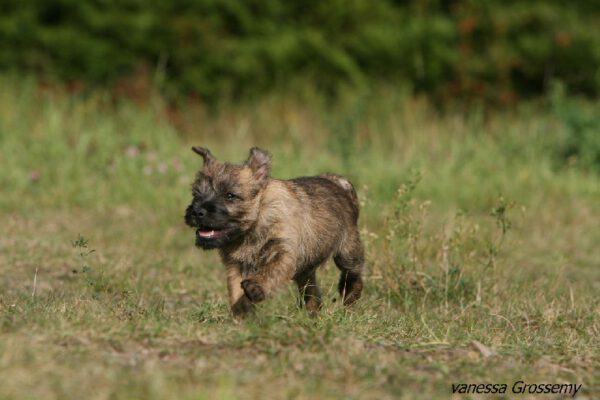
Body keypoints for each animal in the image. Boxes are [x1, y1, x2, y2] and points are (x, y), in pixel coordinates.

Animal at [183, 146, 364, 316]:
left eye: (230, 195)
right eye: (196, 194)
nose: (197, 211)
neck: (252, 227)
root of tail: (336, 181)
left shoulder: (284, 252)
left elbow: (272, 270)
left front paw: (255, 287)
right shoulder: (234, 265)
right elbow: (235, 291)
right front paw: (243, 316)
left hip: (348, 251)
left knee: (354, 274)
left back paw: (349, 298)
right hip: (307, 267)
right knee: (310, 288)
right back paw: (313, 312)